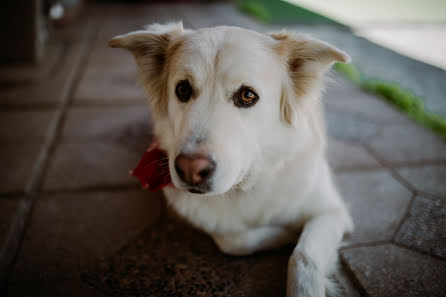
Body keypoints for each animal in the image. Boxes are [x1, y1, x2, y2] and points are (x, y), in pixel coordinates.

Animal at [110, 22, 354, 296]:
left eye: (247, 96)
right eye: (182, 90)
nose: (190, 169)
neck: (246, 185)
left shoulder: (332, 211)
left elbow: (304, 257)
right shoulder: (221, 229)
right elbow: (234, 240)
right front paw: (288, 232)